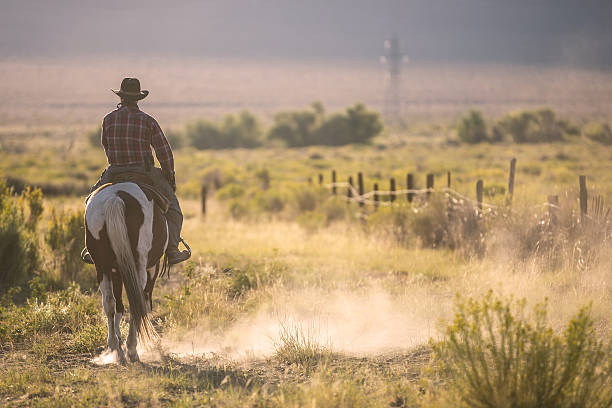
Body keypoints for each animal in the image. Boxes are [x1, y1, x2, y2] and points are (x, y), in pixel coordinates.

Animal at [85, 182, 167, 364]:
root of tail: (115, 198)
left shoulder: (116, 270)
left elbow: (119, 306)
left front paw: (118, 340)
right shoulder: (151, 269)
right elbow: (142, 302)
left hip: (102, 266)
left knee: (109, 301)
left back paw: (115, 347)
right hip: (139, 266)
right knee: (136, 300)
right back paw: (132, 349)